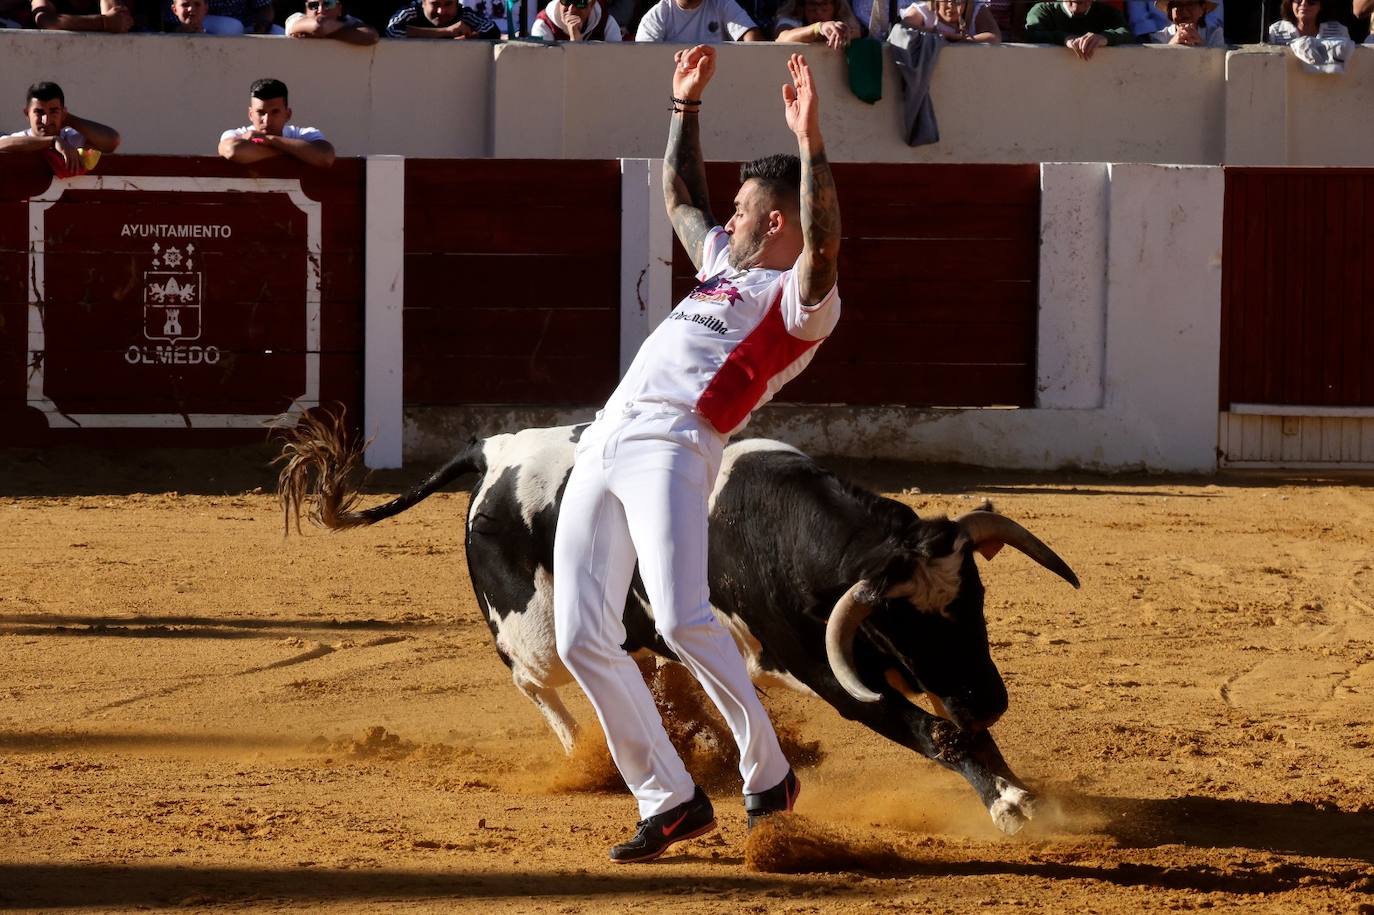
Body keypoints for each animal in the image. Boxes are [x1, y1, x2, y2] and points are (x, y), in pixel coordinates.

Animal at [276, 417, 1082, 829]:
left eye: (974, 603)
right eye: (904, 624)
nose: (992, 697)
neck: (777, 529)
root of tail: (496, 451)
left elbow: (960, 730)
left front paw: (1017, 789)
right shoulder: (828, 672)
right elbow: (935, 732)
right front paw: (1009, 803)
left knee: (641, 672)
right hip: (532, 628)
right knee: (538, 680)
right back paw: (584, 756)